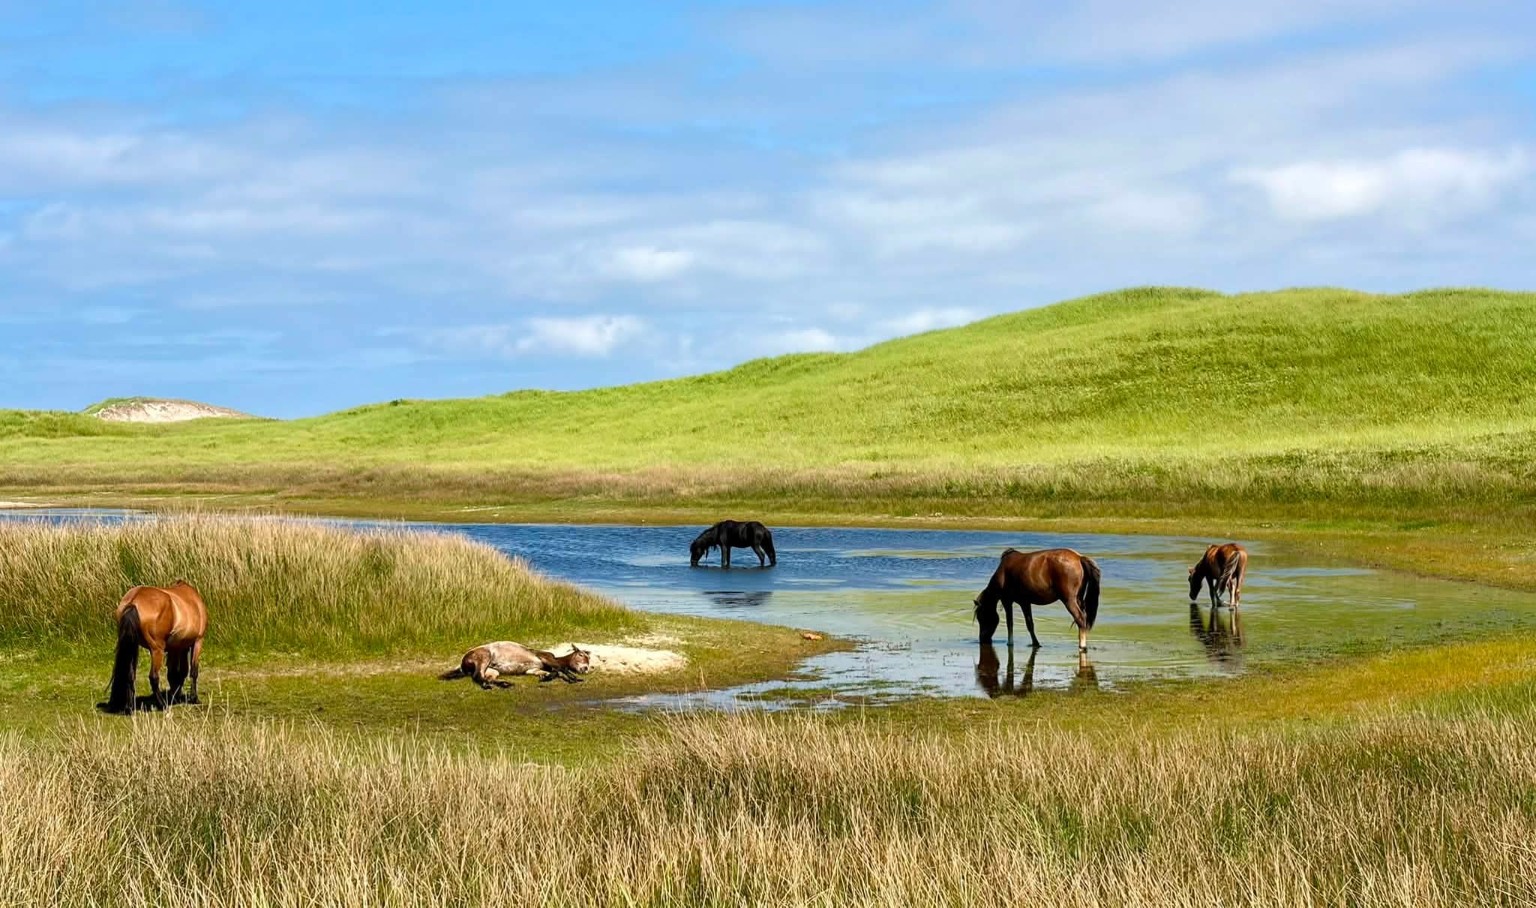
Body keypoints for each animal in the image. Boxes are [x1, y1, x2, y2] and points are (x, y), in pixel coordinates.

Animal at [102, 580, 208, 714]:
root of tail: (134, 601)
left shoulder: (176, 648)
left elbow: (174, 672)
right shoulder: (197, 642)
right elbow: (192, 671)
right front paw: (194, 698)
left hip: (133, 645)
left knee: (130, 676)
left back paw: (129, 707)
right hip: (157, 650)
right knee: (153, 676)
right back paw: (162, 705)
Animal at [439, 642, 592, 688]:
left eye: (588, 659)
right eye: (581, 655)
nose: (585, 669)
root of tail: (462, 662)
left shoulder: (533, 669)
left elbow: (553, 672)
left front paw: (545, 678)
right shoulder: (545, 658)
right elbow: (561, 668)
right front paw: (574, 678)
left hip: (492, 670)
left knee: (485, 677)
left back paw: (504, 684)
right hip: (484, 657)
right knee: (477, 676)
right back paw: (488, 686)